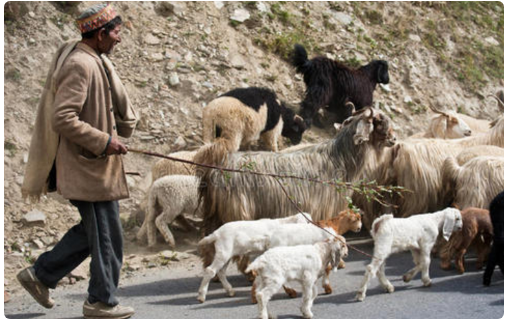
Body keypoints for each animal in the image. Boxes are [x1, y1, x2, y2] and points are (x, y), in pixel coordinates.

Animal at [198, 107, 398, 238]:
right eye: (379, 122)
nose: (394, 139)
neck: (338, 158)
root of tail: (219, 164)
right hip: (236, 212)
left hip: (214, 215)